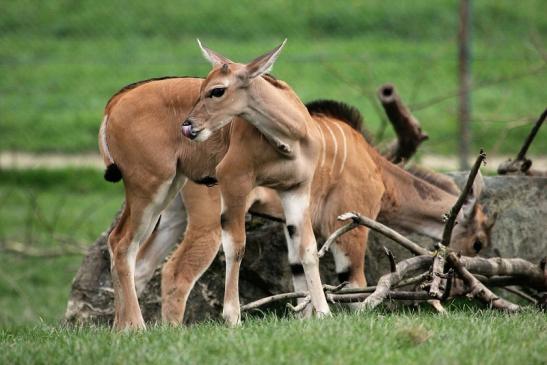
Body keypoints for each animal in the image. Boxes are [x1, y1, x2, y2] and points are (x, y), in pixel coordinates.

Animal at [101, 44, 492, 328]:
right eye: (478, 241)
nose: (460, 286)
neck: (376, 168)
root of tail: (114, 103)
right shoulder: (349, 224)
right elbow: (354, 282)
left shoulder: (296, 203)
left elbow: (302, 264)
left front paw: (313, 317)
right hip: (175, 200)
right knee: (164, 265)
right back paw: (151, 328)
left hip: (170, 207)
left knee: (136, 257)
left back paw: (125, 329)